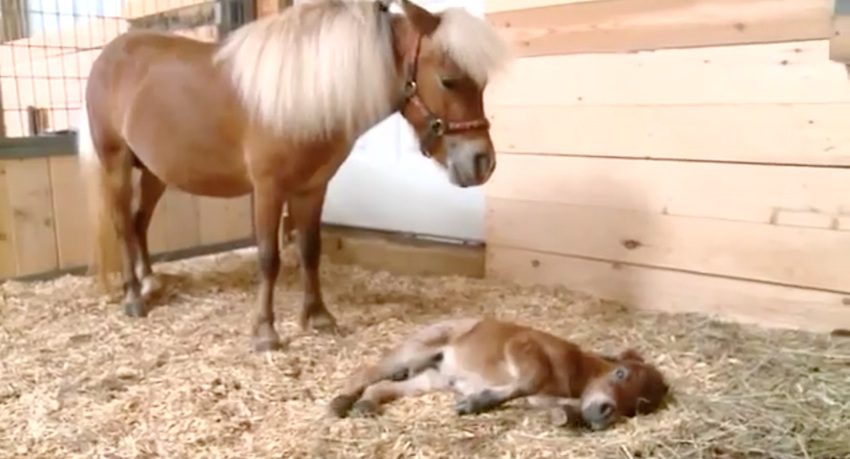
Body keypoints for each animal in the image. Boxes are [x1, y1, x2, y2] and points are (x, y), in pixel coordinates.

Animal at [76, 0, 511, 352]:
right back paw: (133, 297)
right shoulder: (269, 189)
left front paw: (318, 317)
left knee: (138, 224)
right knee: (122, 225)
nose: (482, 163)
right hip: (115, 164)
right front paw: (265, 333)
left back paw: (150, 282)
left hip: (155, 173)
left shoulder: (312, 188)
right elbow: (269, 257)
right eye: (448, 79)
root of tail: (107, 55)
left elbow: (309, 251)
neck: (305, 95)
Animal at [328, 317, 670, 430]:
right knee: (366, 371)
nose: (605, 411)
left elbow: (558, 407)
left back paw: (364, 405)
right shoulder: (524, 346)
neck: (576, 373)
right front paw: (473, 403)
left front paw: (567, 416)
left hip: (432, 378)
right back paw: (340, 402)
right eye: (621, 373)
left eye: (640, 406)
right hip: (415, 350)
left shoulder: (543, 398)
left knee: (383, 387)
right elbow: (528, 381)